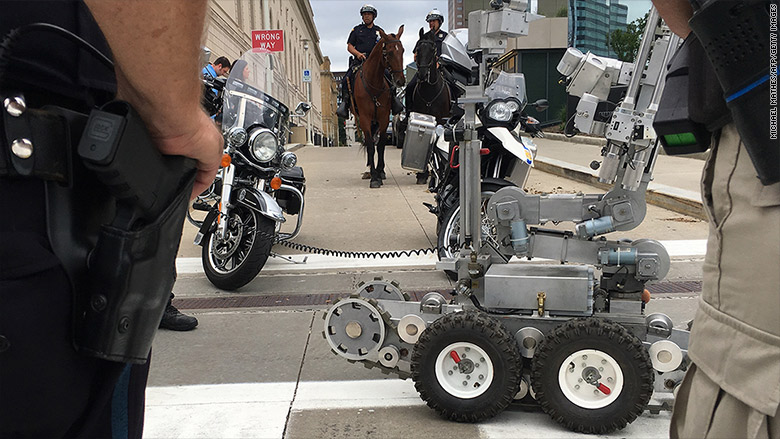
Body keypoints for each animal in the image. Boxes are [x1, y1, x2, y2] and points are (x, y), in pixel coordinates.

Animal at [350, 24, 406, 188]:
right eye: (389, 52)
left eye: (402, 50)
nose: (400, 80)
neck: (373, 84)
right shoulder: (364, 118)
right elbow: (370, 145)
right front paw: (374, 177)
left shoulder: (383, 117)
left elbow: (380, 145)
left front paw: (380, 172)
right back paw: (370, 168)